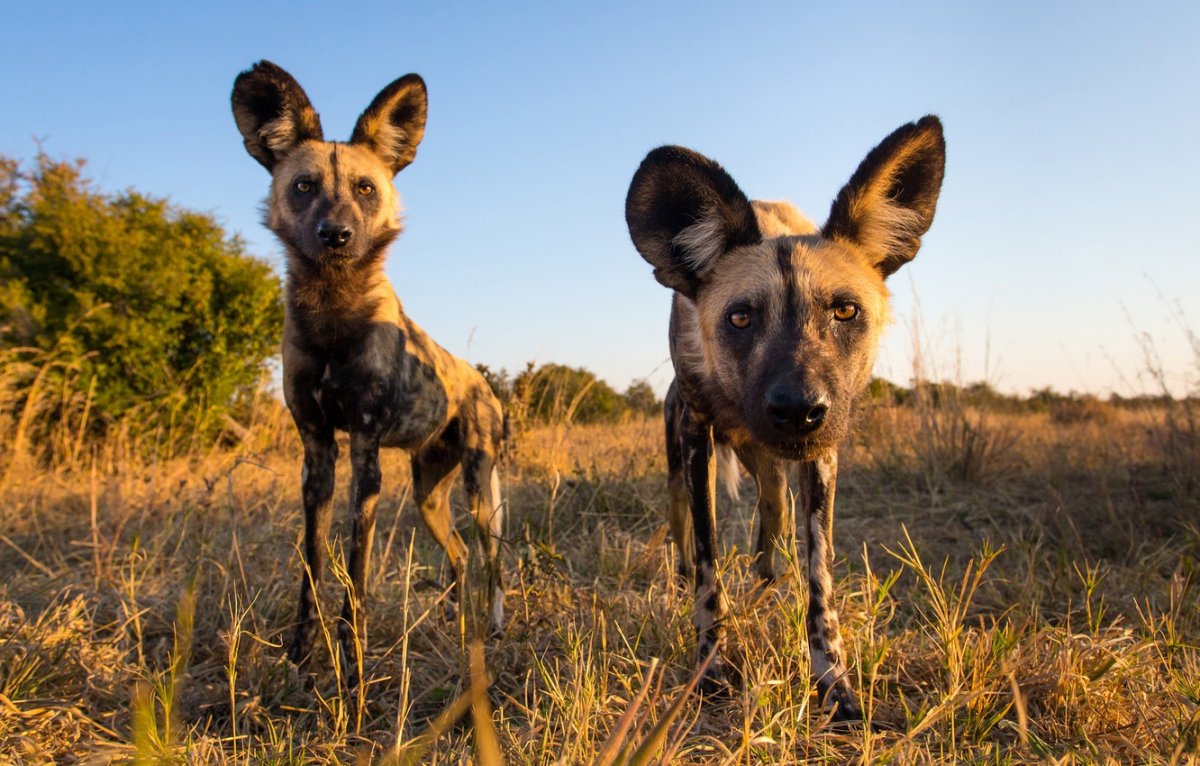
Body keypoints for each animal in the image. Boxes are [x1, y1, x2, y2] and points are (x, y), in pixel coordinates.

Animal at [230, 63, 506, 701]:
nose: (335, 234)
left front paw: (352, 674)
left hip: (480, 489)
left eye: (364, 189)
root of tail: (482, 381)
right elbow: (311, 572)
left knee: (493, 561)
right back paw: (455, 623)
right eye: (304, 186)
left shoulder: (364, 454)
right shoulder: (317, 455)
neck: (333, 311)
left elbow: (353, 579)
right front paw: (300, 662)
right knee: (458, 556)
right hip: (428, 496)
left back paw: (493, 629)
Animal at [624, 115, 940, 720]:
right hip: (685, 460)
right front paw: (710, 668)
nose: (797, 410)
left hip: (768, 464)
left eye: (845, 311)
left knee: (772, 522)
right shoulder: (698, 436)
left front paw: (833, 682)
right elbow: (708, 568)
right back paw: (691, 579)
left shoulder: (821, 455)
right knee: (684, 528)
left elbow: (820, 579)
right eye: (740, 318)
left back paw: (767, 590)